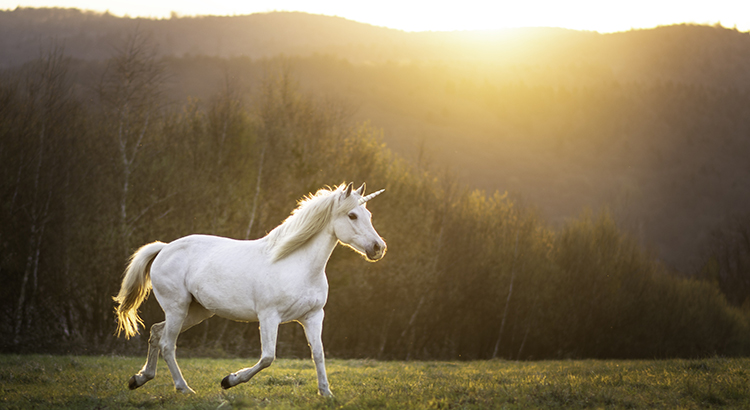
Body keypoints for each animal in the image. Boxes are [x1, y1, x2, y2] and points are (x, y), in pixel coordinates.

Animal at [116, 182, 394, 394]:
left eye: (369, 216)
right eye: (352, 215)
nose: (378, 248)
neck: (295, 264)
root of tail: (164, 248)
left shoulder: (313, 317)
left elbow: (318, 354)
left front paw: (326, 393)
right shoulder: (269, 317)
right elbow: (268, 357)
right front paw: (229, 381)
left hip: (196, 311)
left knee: (156, 332)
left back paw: (139, 379)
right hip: (178, 308)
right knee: (167, 344)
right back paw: (184, 388)